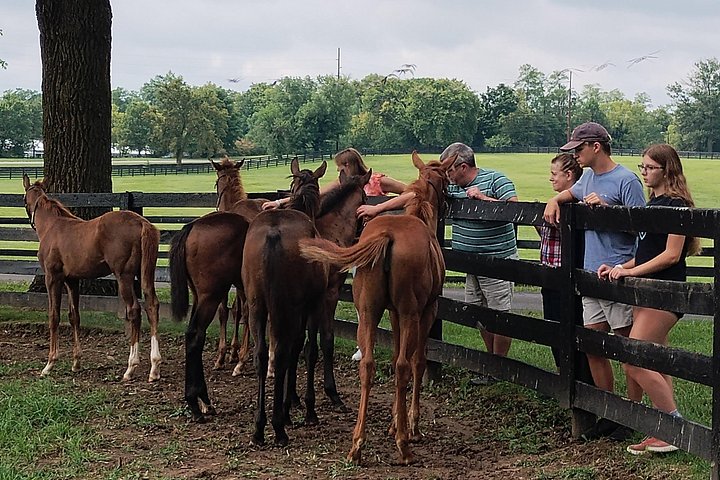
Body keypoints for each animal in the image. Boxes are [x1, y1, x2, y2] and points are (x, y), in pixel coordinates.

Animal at [21, 175, 162, 382]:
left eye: (23, 200)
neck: (52, 226)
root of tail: (142, 223)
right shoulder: (72, 280)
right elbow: (74, 317)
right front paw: (76, 362)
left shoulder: (52, 278)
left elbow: (54, 316)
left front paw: (49, 364)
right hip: (145, 274)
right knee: (152, 306)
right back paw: (154, 367)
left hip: (124, 276)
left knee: (134, 310)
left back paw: (131, 367)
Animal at [169, 209, 250, 421]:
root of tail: (192, 227)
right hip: (210, 296)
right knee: (196, 336)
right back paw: (197, 402)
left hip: (199, 296)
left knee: (193, 334)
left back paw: (202, 401)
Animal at [242, 158, 329, 446]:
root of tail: (272, 234)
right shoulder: (312, 305)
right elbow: (307, 350)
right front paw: (304, 409)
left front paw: (288, 405)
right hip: (285, 307)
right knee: (280, 353)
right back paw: (278, 428)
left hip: (258, 306)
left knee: (261, 355)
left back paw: (259, 428)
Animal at [298, 151, 455, 464]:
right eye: (445, 180)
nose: (450, 202)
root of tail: (387, 238)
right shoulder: (424, 311)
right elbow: (416, 362)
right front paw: (411, 425)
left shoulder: (392, 313)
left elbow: (393, 355)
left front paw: (395, 420)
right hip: (409, 313)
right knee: (404, 366)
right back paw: (404, 445)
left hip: (369, 313)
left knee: (368, 366)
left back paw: (357, 444)